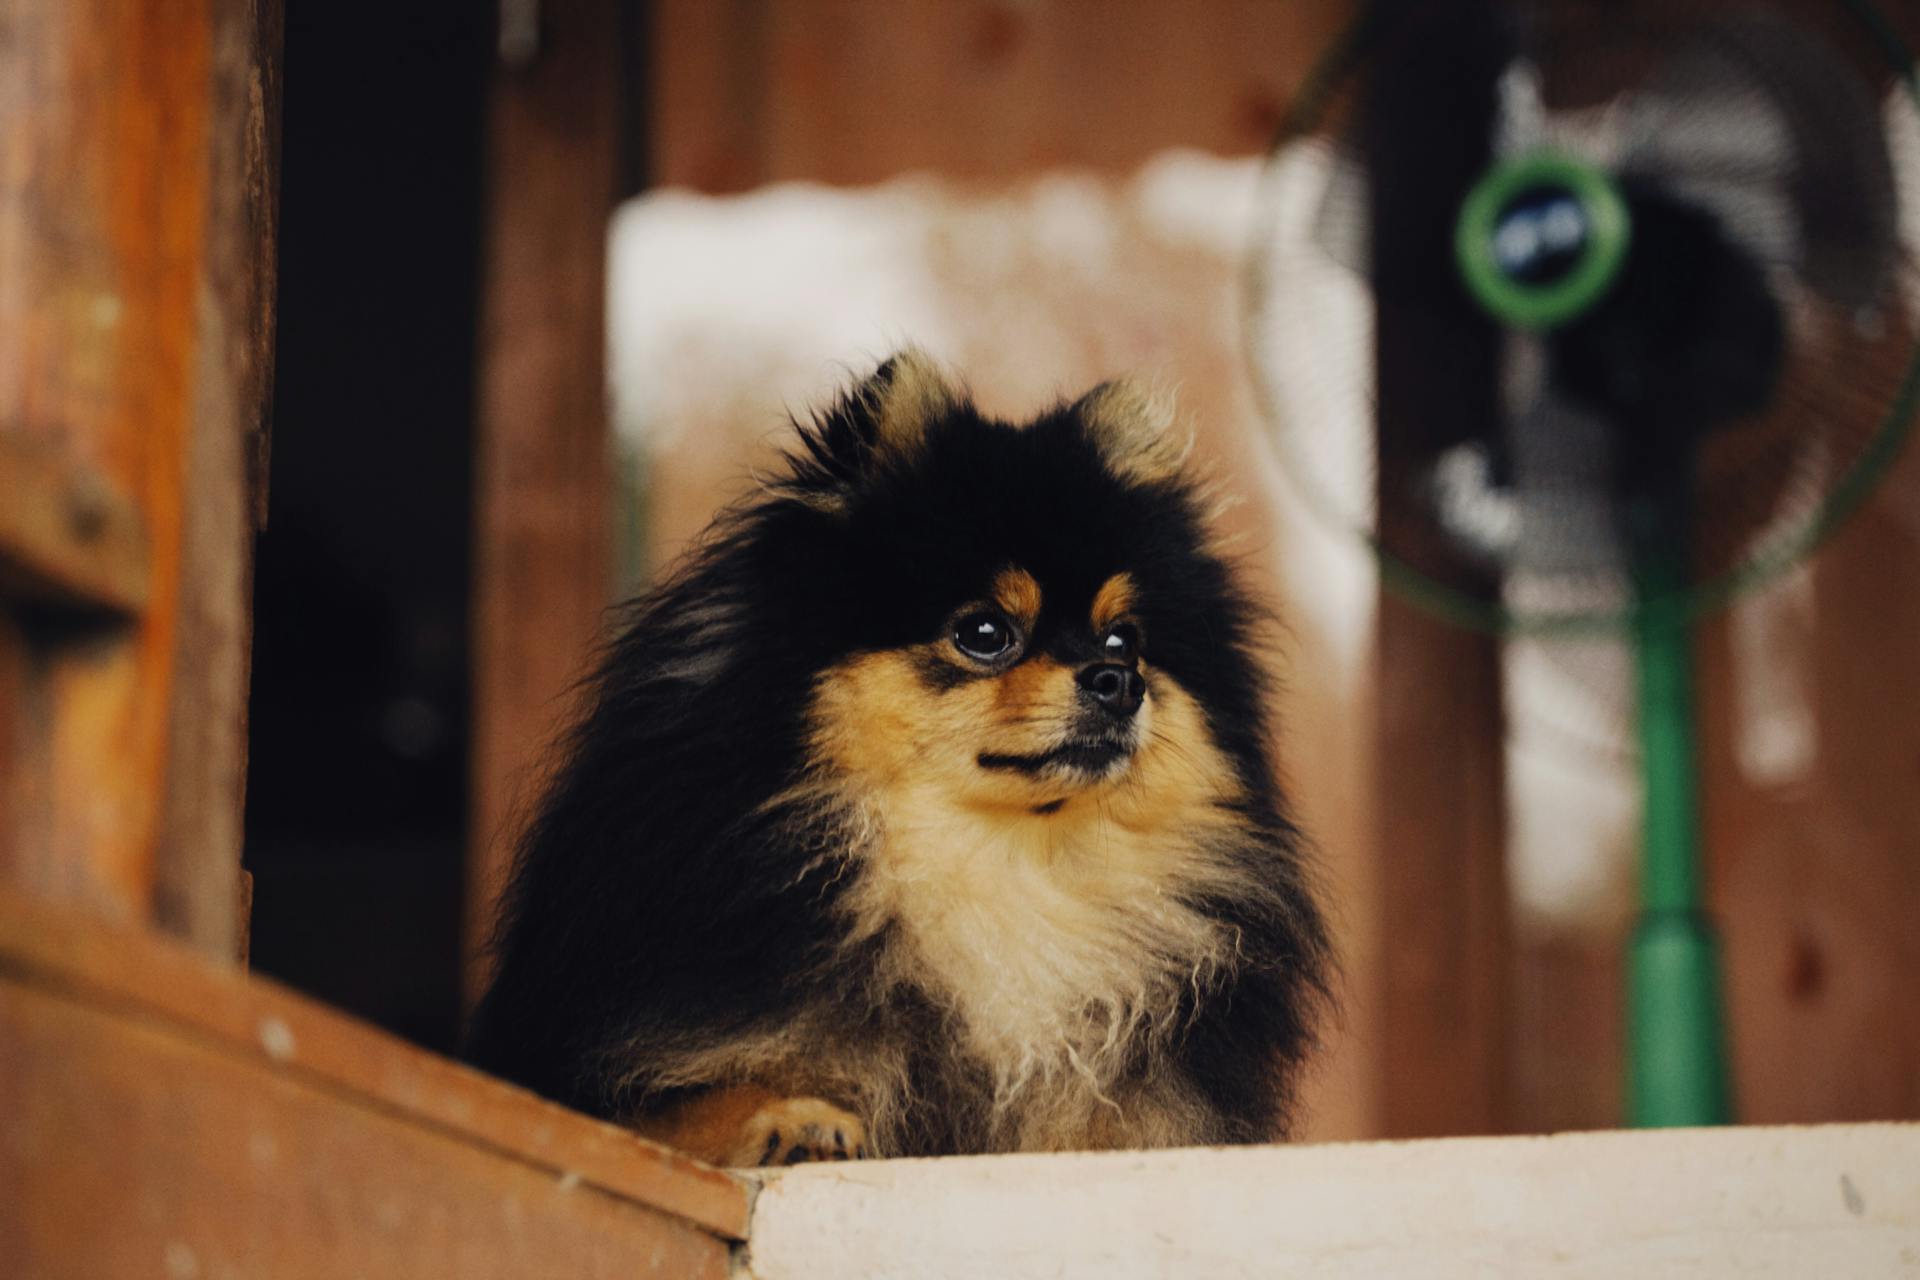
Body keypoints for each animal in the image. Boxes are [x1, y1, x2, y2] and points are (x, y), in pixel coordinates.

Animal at [472, 347, 1328, 1159]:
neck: (997, 871)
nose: (1119, 682)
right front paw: (793, 1116)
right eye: (984, 633)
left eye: (1124, 641)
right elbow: (672, 1107)